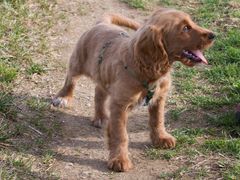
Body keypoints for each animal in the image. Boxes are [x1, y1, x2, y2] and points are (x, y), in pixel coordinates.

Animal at [52, 8, 214, 172]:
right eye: (185, 28)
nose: (213, 35)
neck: (145, 70)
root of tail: (102, 23)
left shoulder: (158, 99)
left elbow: (158, 120)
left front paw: (161, 138)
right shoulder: (120, 106)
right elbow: (121, 135)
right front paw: (119, 159)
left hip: (103, 76)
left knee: (99, 92)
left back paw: (100, 117)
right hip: (78, 61)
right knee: (71, 79)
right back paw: (63, 97)